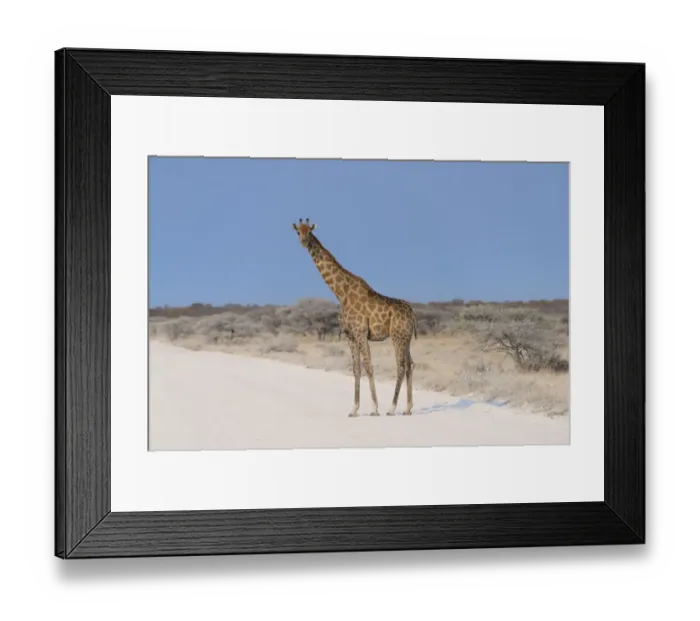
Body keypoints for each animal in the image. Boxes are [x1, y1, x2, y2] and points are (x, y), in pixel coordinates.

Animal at [292, 218, 417, 417]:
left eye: (309, 231)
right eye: (298, 232)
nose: (304, 242)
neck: (341, 293)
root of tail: (412, 313)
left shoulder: (360, 332)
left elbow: (368, 366)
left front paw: (374, 408)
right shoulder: (350, 336)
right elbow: (356, 369)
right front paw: (354, 409)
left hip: (397, 337)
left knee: (401, 366)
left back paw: (392, 408)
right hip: (406, 339)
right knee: (410, 365)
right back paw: (407, 408)